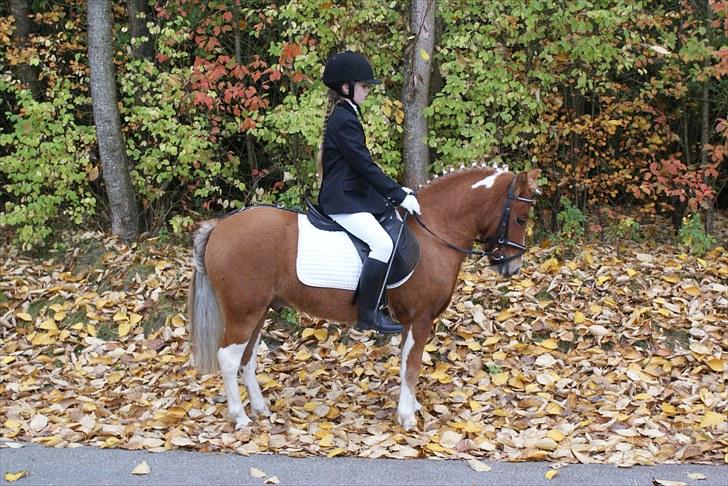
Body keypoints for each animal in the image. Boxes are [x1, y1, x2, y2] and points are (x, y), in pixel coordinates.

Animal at [188, 166, 540, 430]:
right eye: (521, 218)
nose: (512, 266)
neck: (434, 231)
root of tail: (219, 228)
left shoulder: (412, 321)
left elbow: (406, 363)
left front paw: (410, 406)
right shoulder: (420, 318)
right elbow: (412, 365)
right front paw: (407, 417)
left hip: (259, 311)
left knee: (247, 358)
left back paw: (261, 409)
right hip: (243, 312)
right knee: (229, 358)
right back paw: (240, 417)